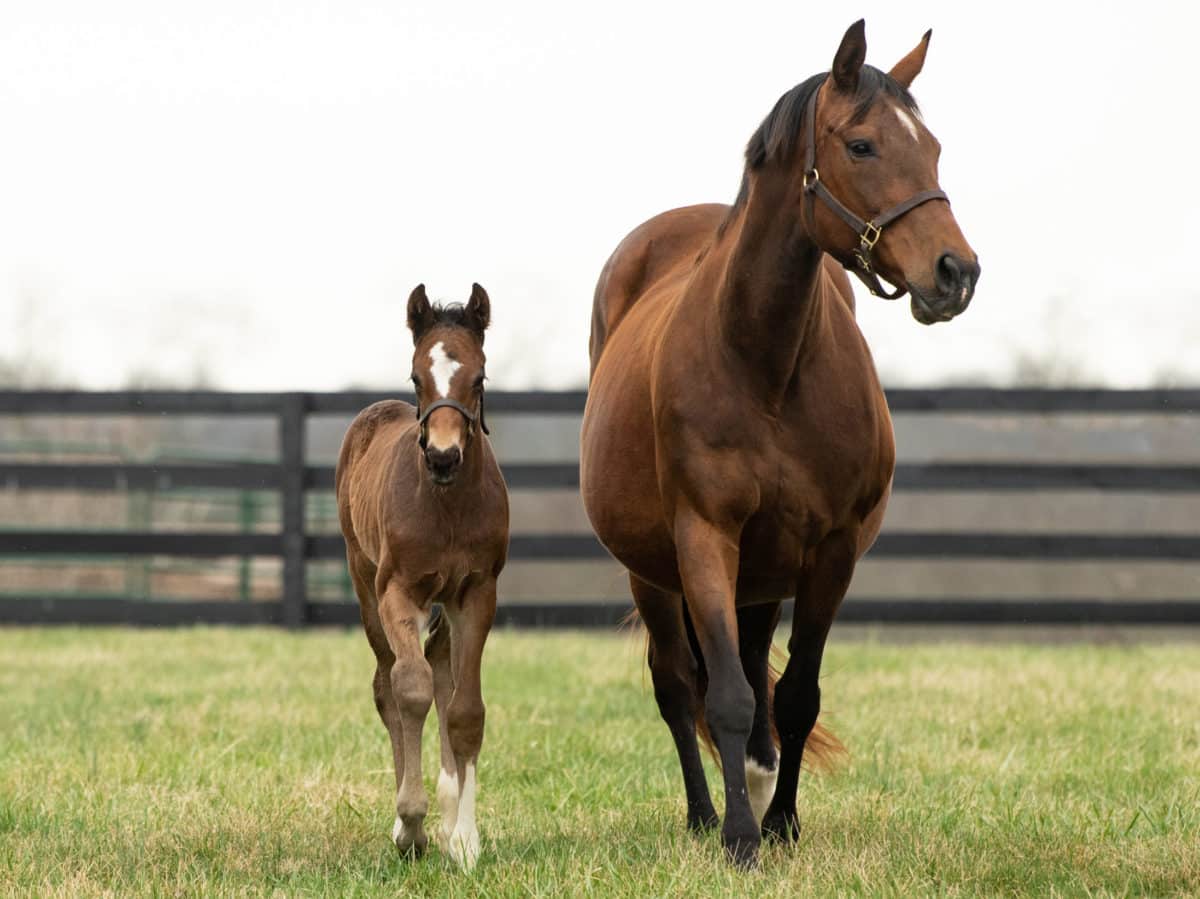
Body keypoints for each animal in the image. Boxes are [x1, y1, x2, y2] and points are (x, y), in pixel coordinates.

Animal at [336, 284, 508, 864]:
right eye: (416, 376)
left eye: (479, 377)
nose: (442, 456)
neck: (447, 505)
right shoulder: (398, 591)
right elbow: (408, 689)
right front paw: (411, 824)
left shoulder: (476, 593)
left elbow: (464, 708)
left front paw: (465, 839)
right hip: (364, 581)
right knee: (388, 682)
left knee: (441, 672)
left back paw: (450, 808)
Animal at [576, 19, 979, 864]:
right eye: (861, 145)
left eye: (932, 147)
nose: (956, 272)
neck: (763, 363)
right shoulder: (704, 538)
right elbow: (723, 696)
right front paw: (737, 836)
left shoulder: (832, 549)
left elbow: (794, 694)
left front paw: (783, 821)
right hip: (655, 572)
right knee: (677, 684)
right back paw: (704, 813)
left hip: (762, 575)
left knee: (758, 672)